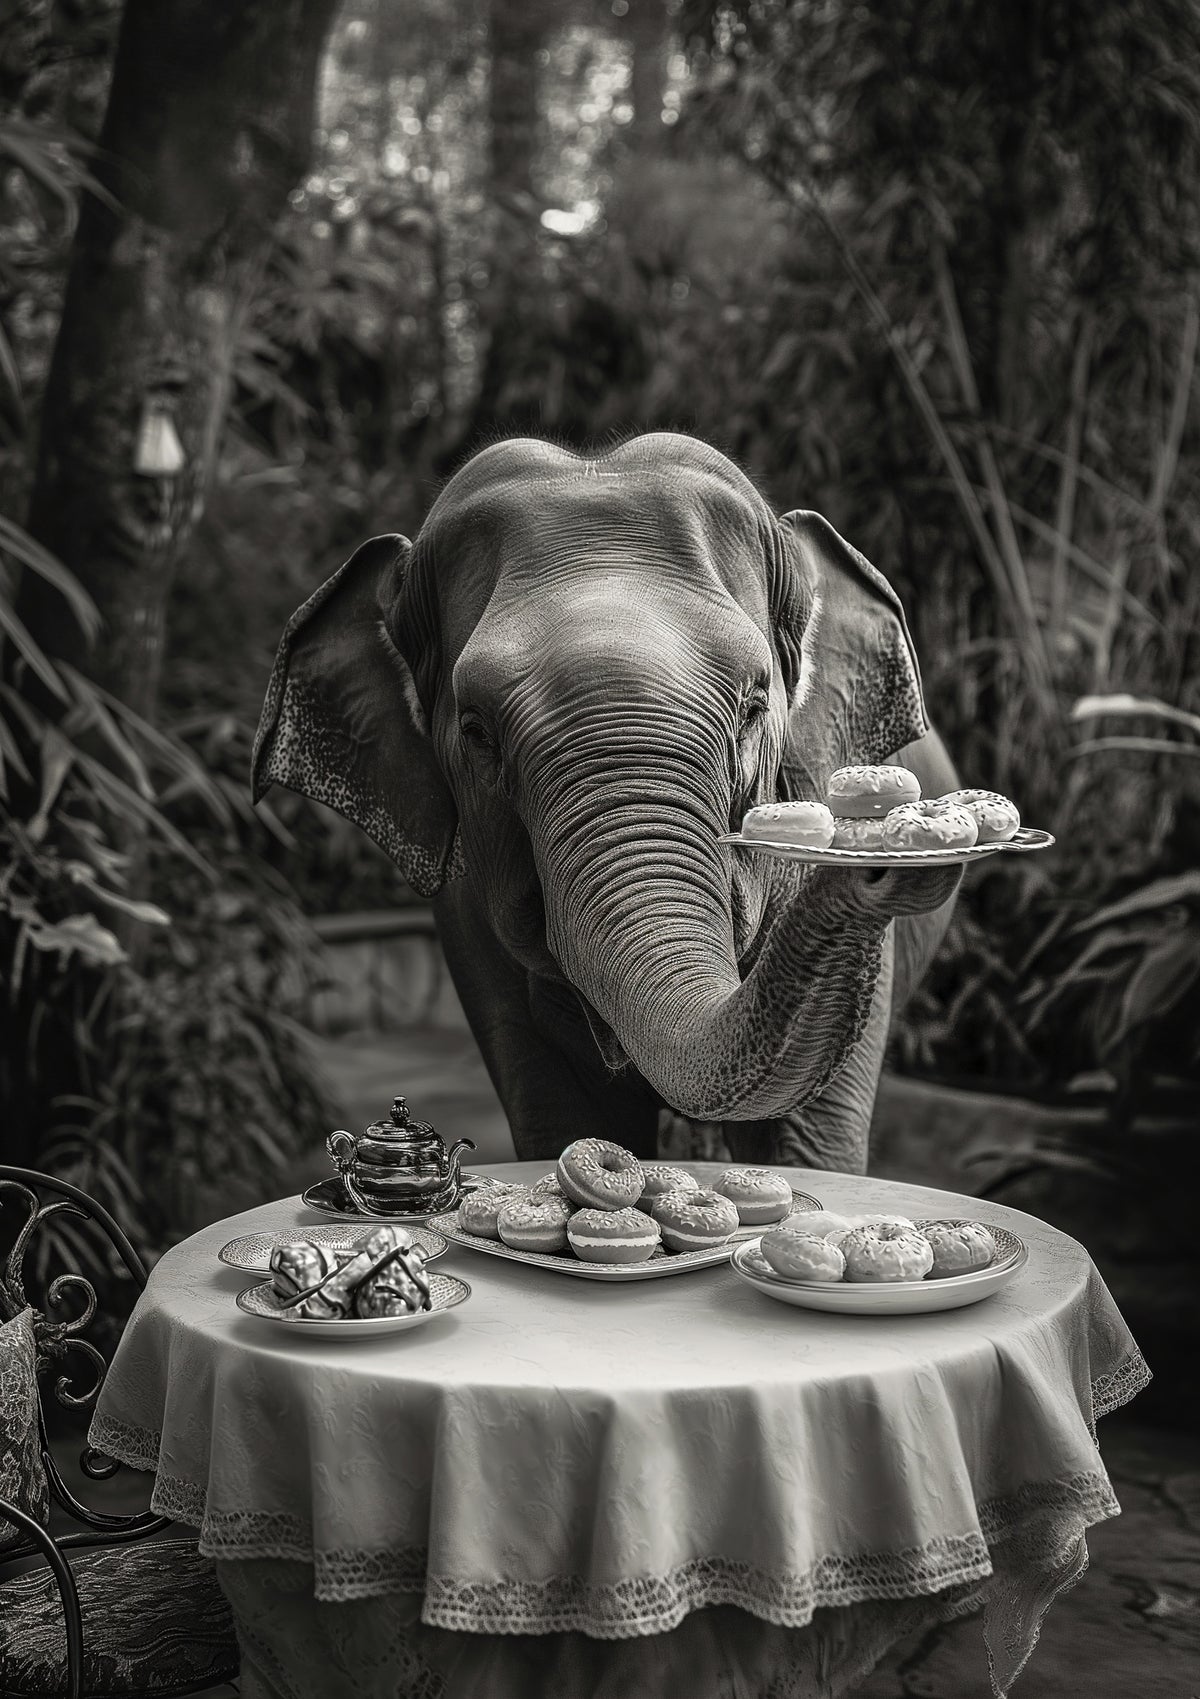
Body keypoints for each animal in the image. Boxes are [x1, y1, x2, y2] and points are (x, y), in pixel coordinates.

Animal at [252, 432, 961, 1170]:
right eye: (476, 732)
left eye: (753, 707)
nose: (879, 864)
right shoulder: (472, 939)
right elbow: (564, 1116)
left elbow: (804, 1142)